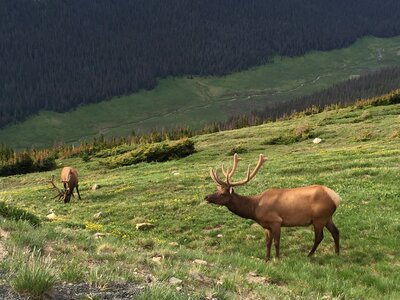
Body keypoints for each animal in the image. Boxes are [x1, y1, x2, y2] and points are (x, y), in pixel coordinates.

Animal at [206, 154, 340, 258]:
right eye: (217, 190)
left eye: (222, 193)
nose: (206, 197)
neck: (254, 209)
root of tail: (336, 197)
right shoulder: (266, 225)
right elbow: (268, 243)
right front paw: (267, 258)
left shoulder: (276, 221)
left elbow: (276, 242)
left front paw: (277, 258)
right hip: (327, 217)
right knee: (336, 232)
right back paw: (337, 253)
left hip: (319, 218)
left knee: (319, 237)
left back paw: (309, 255)